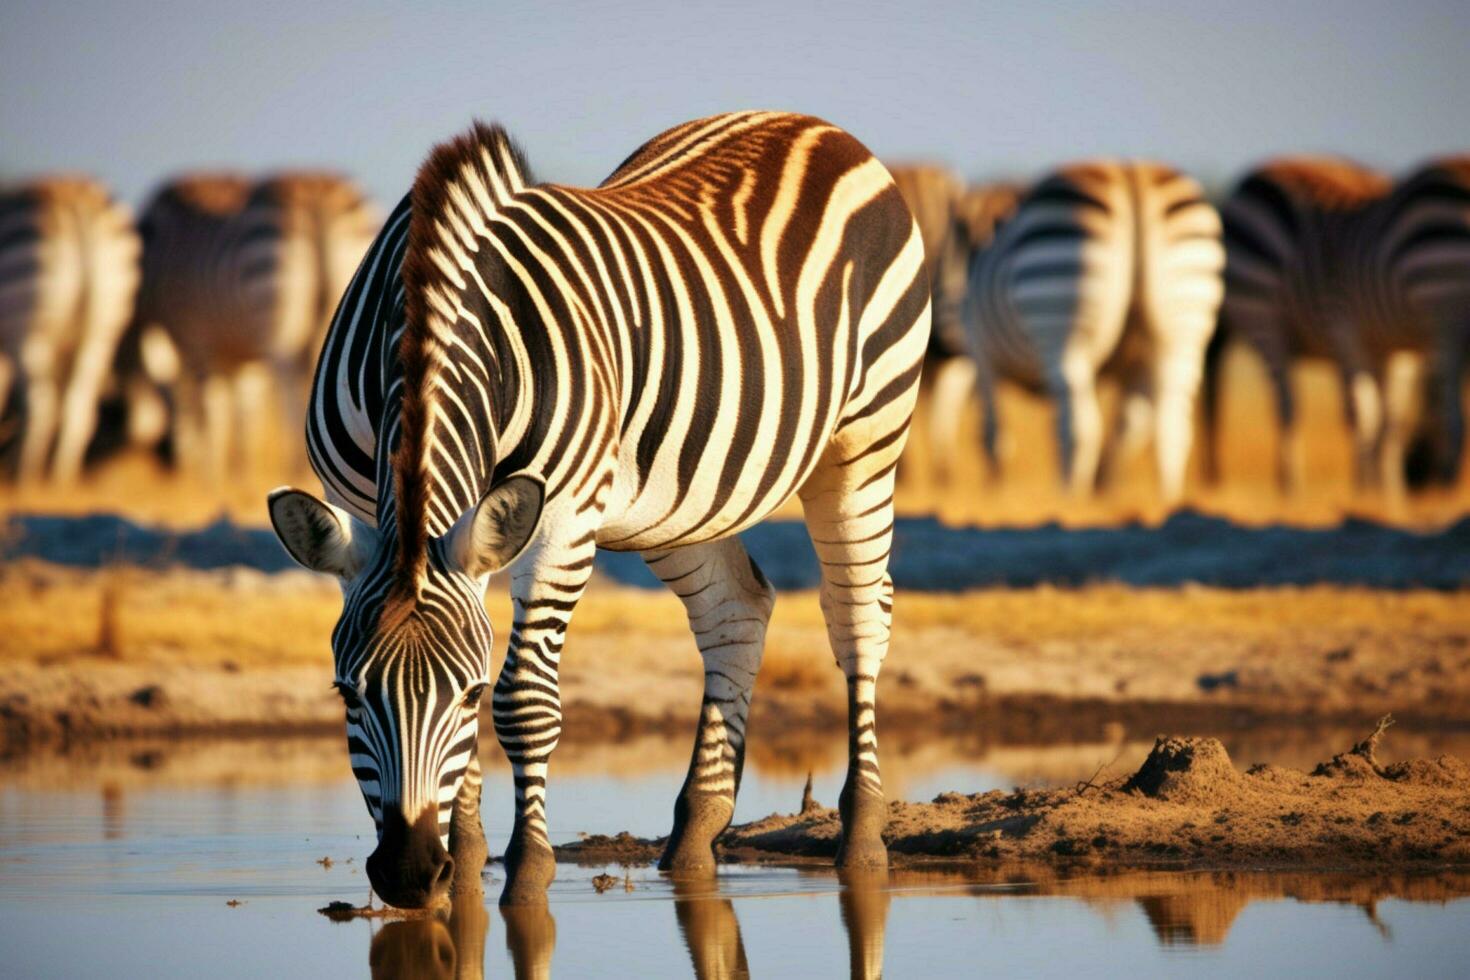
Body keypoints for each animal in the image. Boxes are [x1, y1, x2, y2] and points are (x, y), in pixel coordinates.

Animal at [0, 178, 140, 484]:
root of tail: (78, 203)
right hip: (103, 331)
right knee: (80, 410)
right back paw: (60, 481)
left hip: (29, 330)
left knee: (41, 406)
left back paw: (25, 479)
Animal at [130, 174, 379, 481]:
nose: (171, 469)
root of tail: (316, 194)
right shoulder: (238, 353)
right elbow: (242, 409)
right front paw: (238, 473)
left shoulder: (193, 339)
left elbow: (209, 409)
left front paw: (210, 474)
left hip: (277, 314)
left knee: (288, 386)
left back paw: (297, 470)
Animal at [267, 110, 929, 910]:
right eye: (347, 693)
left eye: (468, 694)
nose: (407, 872)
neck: (427, 315)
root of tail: (810, 124)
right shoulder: (363, 508)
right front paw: (467, 861)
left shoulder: (561, 518)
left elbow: (526, 701)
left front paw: (526, 870)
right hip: (677, 496)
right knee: (736, 608)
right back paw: (696, 834)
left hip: (865, 437)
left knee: (859, 615)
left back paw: (862, 839)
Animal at [958, 159, 1223, 505]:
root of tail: (1133, 174)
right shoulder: (1135, 366)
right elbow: (1126, 427)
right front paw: (1103, 488)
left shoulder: (980, 354)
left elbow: (992, 431)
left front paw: (995, 492)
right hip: (1183, 329)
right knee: (1171, 427)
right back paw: (1168, 500)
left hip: (1061, 322)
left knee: (1081, 427)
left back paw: (1070, 499)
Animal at [1199, 163, 1393, 499]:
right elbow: (1365, 410)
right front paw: (1371, 486)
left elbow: (1383, 411)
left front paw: (1383, 485)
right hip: (1264, 319)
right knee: (1285, 402)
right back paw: (1284, 482)